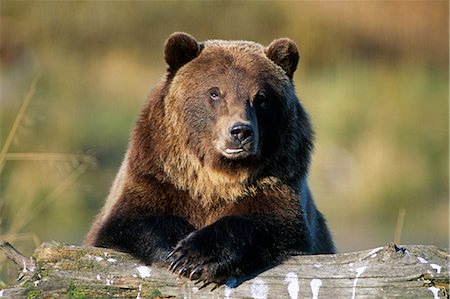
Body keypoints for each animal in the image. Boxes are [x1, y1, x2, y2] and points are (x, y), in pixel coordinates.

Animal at [86, 31, 336, 288]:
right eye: (215, 93)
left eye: (261, 97)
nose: (240, 131)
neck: (215, 176)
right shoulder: (157, 176)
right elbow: (131, 221)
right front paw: (177, 250)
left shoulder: (278, 182)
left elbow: (267, 223)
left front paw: (195, 257)